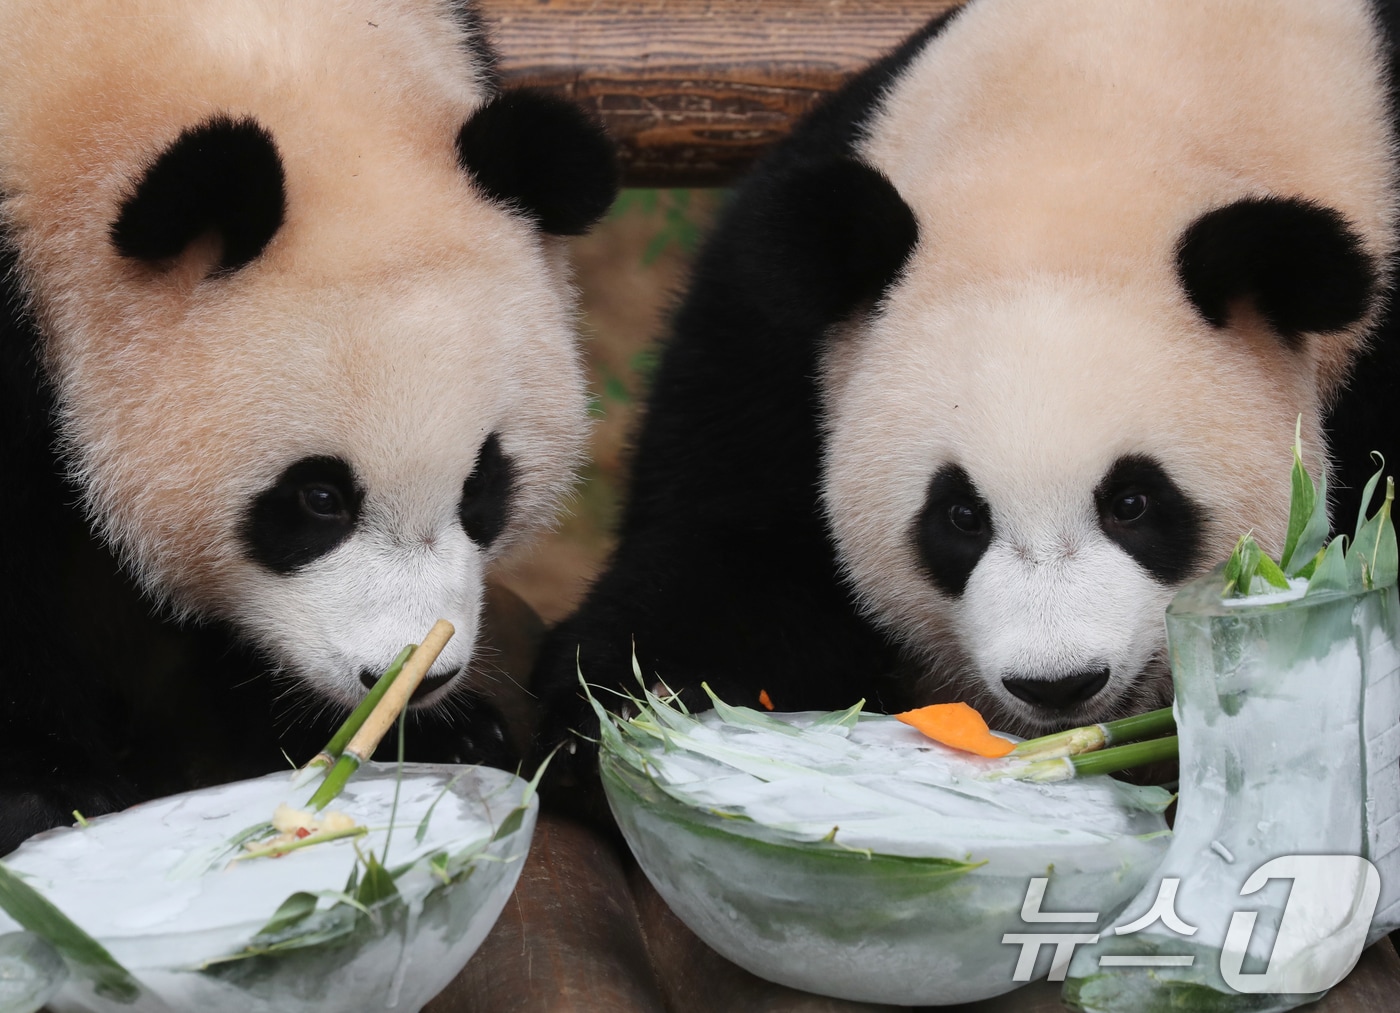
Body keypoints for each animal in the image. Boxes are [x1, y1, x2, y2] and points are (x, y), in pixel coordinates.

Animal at [526, 0, 1400, 805]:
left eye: (1134, 502)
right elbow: (729, 543)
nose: (1059, 683)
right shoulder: (785, 340)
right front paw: (618, 718)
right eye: (959, 516)